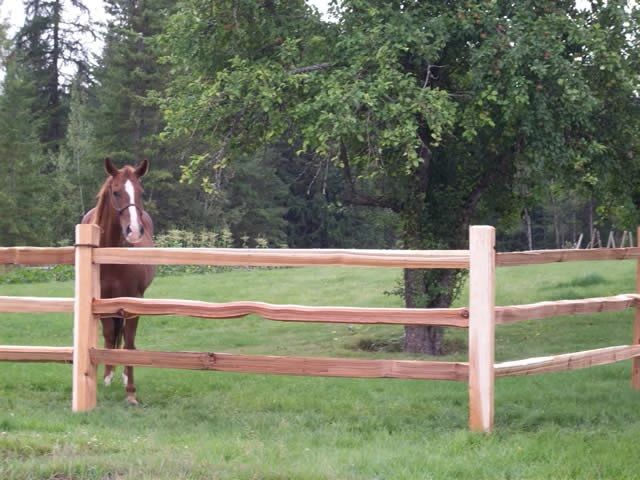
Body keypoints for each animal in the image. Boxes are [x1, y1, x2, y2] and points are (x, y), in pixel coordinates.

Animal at [82, 157, 155, 405]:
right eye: (115, 192)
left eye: (141, 192)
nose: (134, 231)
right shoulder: (102, 298)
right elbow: (109, 335)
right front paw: (106, 377)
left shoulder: (134, 298)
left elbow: (130, 342)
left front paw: (131, 391)